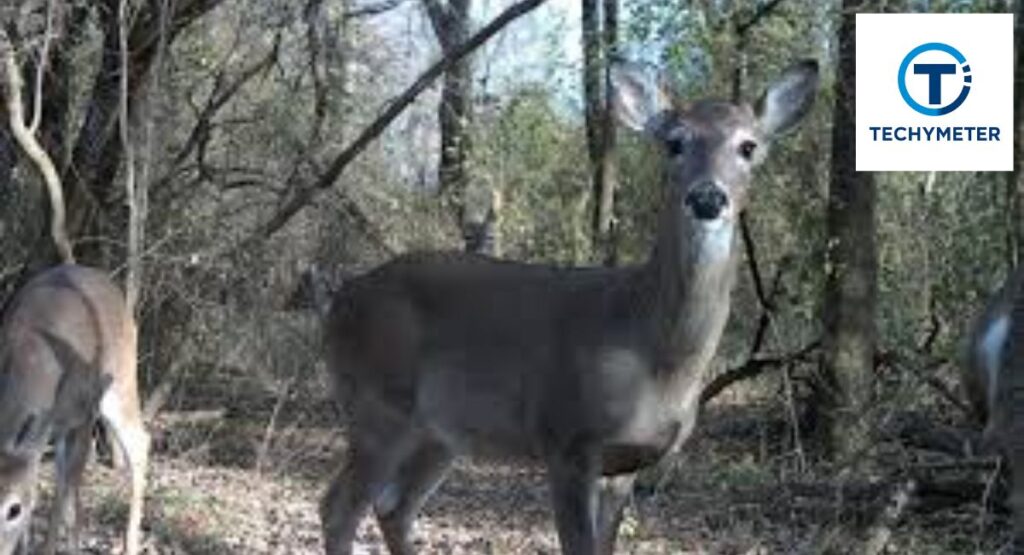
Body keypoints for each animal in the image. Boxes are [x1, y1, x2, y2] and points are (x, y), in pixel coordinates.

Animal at [0, 37, 149, 555]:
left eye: (12, 508)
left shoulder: (80, 416)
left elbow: (57, 497)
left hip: (119, 386)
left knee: (139, 444)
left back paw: (127, 542)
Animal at [319, 59, 819, 555]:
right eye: (675, 142)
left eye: (749, 146)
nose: (707, 197)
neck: (653, 351)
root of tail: (340, 298)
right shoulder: (567, 439)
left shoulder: (624, 467)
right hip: (377, 406)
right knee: (339, 508)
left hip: (440, 431)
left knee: (394, 508)